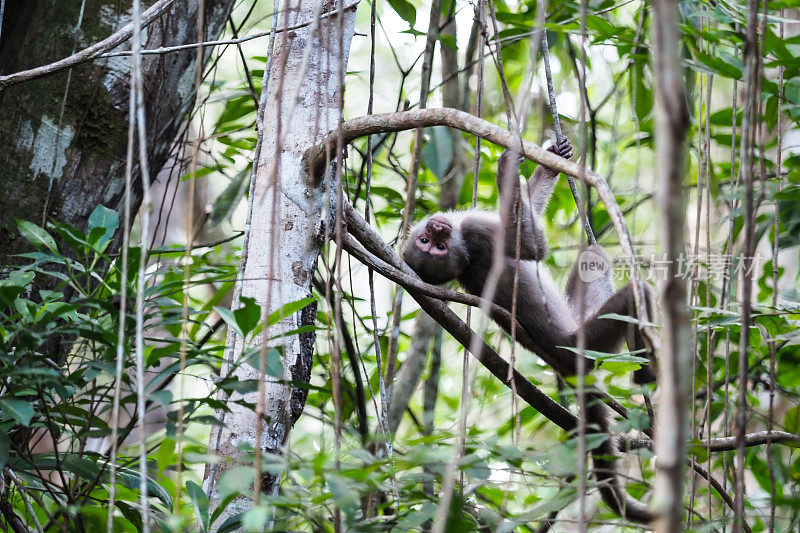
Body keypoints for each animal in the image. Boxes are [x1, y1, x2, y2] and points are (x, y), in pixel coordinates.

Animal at [400, 138, 656, 524]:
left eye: (433, 242)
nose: (438, 228)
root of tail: (567, 365)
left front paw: (548, 163)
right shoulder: (478, 233)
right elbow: (533, 246)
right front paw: (507, 166)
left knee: (591, 259)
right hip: (589, 343)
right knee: (634, 294)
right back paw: (647, 371)